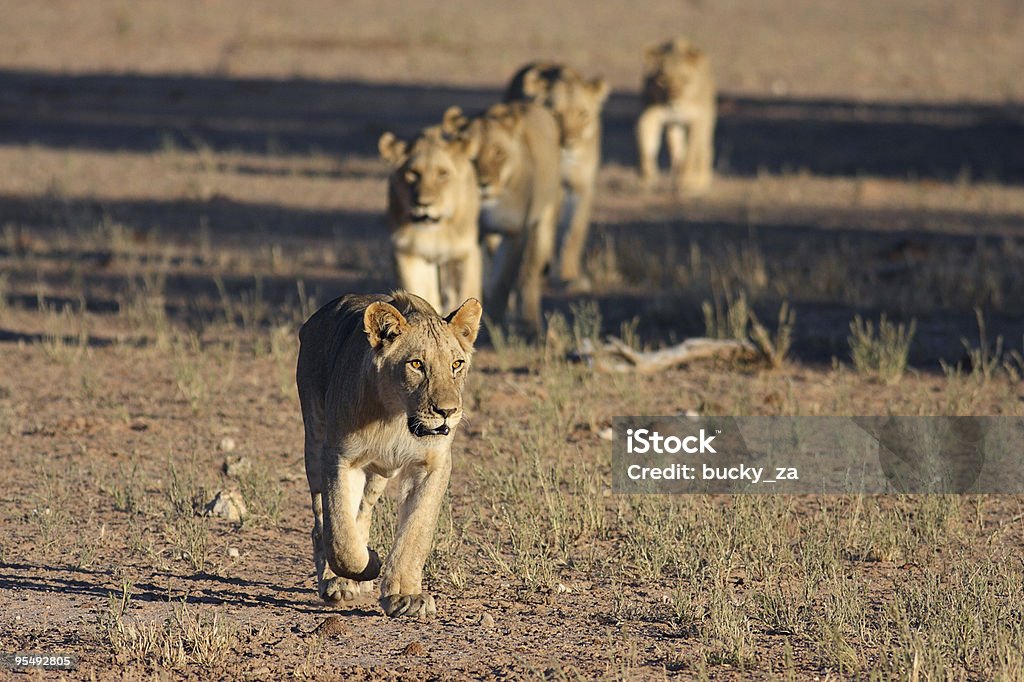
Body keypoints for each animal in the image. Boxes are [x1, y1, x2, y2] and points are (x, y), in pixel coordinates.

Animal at [294, 288, 481, 614]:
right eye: (417, 364)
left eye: (456, 364)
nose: (447, 412)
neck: (396, 417)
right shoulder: (340, 457)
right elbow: (339, 534)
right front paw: (368, 563)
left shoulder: (433, 464)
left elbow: (416, 530)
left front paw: (404, 595)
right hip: (314, 442)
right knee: (322, 522)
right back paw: (336, 580)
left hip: (378, 474)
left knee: (363, 512)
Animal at [380, 126, 483, 313]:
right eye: (413, 174)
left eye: (443, 174)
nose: (424, 204)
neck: (435, 232)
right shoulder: (408, 252)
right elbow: (420, 294)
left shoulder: (464, 252)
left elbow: (463, 295)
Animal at [444, 102, 565, 337]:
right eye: (471, 157)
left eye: (499, 153)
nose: (483, 184)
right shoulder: (471, 236)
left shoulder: (514, 231)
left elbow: (503, 280)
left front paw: (493, 322)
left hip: (543, 221)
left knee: (530, 272)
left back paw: (530, 321)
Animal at [503, 60, 606, 288]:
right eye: (556, 115)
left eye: (583, 114)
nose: (569, 145)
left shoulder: (582, 186)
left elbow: (574, 231)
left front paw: (569, 274)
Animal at [634, 38, 716, 195]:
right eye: (662, 80)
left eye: (685, 80)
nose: (674, 102)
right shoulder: (649, 115)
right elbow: (645, 146)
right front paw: (647, 177)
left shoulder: (697, 119)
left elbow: (692, 153)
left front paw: (688, 182)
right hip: (675, 126)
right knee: (677, 149)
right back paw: (676, 173)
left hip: (707, 119)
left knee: (704, 149)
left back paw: (699, 181)